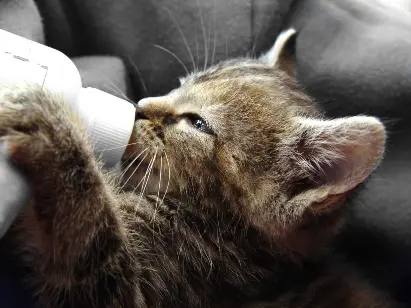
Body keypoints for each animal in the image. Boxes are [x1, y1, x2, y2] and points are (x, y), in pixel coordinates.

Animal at [1, 28, 398, 306]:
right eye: (181, 84)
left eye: (198, 124)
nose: (141, 106)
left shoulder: (138, 288)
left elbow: (89, 230)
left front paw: (49, 124)